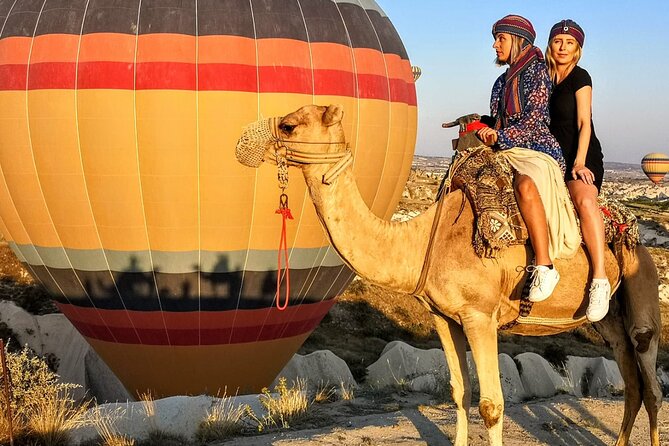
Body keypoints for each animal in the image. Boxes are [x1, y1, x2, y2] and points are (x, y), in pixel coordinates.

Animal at [235, 104, 662, 446]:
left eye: (288, 125)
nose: (243, 142)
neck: (425, 240)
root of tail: (634, 233)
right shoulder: (444, 317)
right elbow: (460, 392)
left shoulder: (480, 315)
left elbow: (492, 404)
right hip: (610, 319)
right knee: (632, 383)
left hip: (642, 291)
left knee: (651, 384)